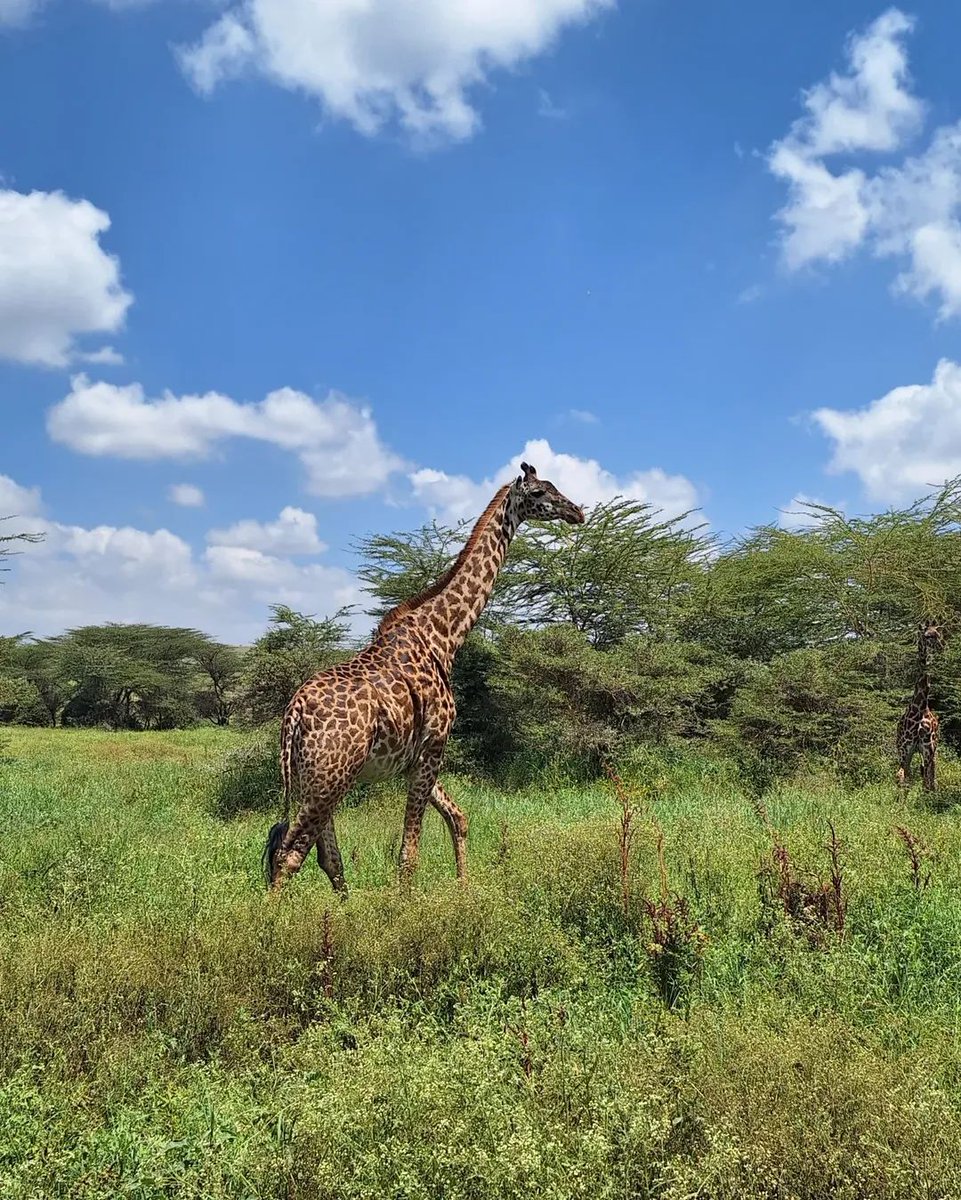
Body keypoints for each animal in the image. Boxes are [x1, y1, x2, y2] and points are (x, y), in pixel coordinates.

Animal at [263, 462, 585, 895]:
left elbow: (459, 818)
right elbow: (409, 855)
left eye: (553, 487)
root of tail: (293, 715)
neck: (443, 638)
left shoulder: (417, 758)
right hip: (330, 777)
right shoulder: (434, 745)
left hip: (316, 778)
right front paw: (406, 905)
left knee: (326, 858)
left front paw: (464, 889)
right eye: (537, 493)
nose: (576, 512)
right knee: (289, 853)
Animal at [896, 620, 945, 791]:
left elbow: (926, 782)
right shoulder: (904, 751)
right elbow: (902, 780)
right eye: (927, 636)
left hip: (933, 751)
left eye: (939, 634)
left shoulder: (927, 750)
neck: (921, 708)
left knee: (931, 779)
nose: (941, 647)